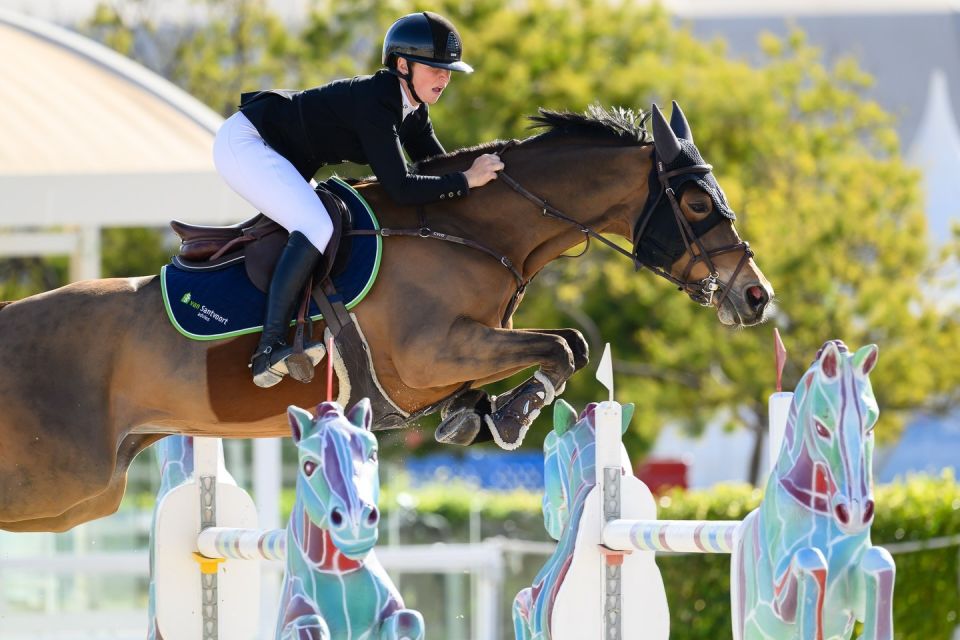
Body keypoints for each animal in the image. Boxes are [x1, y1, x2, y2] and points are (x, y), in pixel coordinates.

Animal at [0, 101, 773, 532]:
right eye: (697, 203)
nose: (755, 296)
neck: (465, 231)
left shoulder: (457, 355)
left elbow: (567, 347)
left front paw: (479, 415)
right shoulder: (433, 352)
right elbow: (561, 347)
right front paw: (513, 414)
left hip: (81, 496)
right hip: (61, 481)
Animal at [277, 399, 423, 640]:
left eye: (373, 454)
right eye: (308, 466)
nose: (356, 525)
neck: (339, 574)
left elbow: (408, 619)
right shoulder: (291, 623)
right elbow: (310, 624)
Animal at [731, 341, 896, 640]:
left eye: (872, 425)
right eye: (820, 427)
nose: (855, 515)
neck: (820, 510)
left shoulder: (854, 599)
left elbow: (880, 563)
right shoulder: (779, 602)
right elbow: (812, 562)